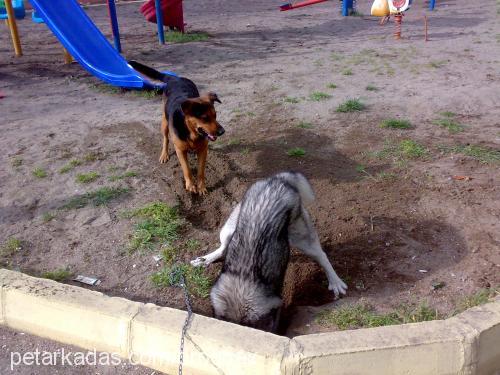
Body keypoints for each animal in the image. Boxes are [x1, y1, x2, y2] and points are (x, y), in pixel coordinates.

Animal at [129, 60, 225, 195]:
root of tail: (176, 78)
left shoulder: (203, 150)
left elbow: (201, 171)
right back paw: (164, 154)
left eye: (215, 116)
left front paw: (201, 187)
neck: (190, 132)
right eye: (204, 118)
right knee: (165, 139)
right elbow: (187, 169)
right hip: (164, 122)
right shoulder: (180, 150)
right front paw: (190, 185)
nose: (222, 131)